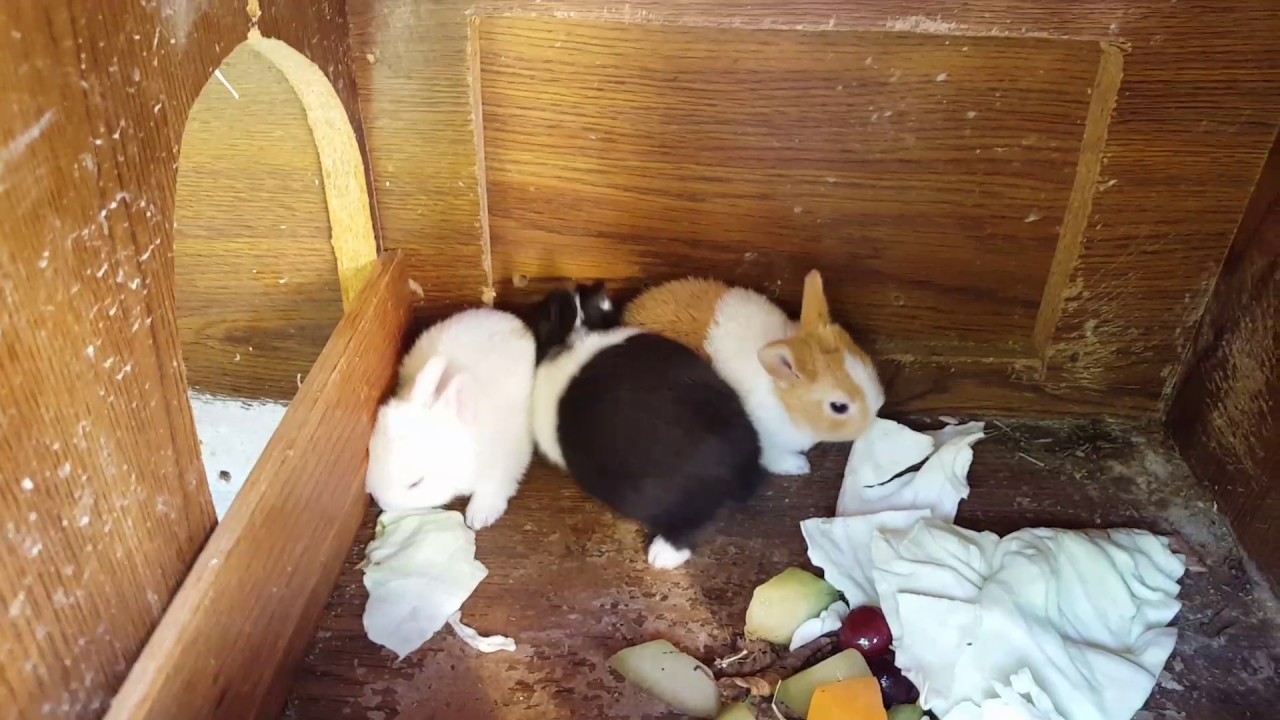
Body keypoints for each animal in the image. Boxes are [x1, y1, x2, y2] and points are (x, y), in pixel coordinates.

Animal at [365, 307, 536, 530]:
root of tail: (508, 318)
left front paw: (479, 517)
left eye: (416, 483)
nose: (379, 499)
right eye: (371, 452)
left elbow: (492, 489)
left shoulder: (505, 465)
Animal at [623, 270, 884, 477]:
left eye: (864, 358)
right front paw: (799, 466)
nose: (875, 414)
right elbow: (775, 459)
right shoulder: (767, 442)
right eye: (839, 407)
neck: (786, 402)